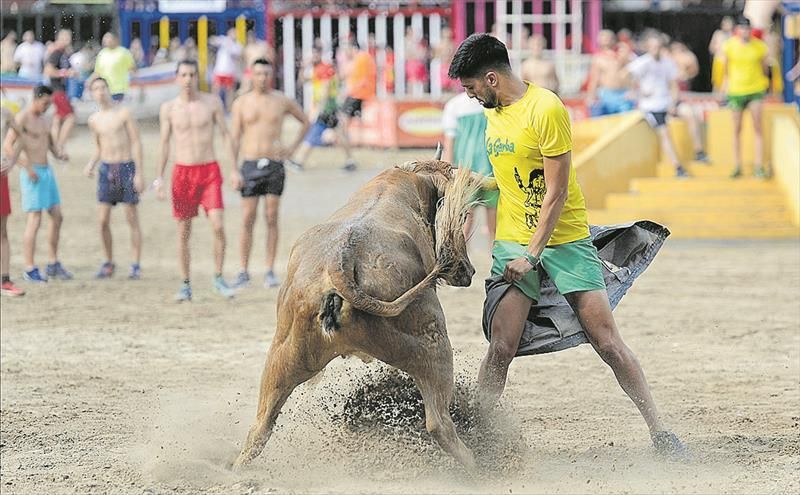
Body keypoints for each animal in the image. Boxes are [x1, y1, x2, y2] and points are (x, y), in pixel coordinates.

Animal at [231, 160, 482, 472]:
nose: (468, 271)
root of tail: (339, 262)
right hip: (434, 344)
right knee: (438, 422)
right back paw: (476, 463)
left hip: (282, 357)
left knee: (261, 425)